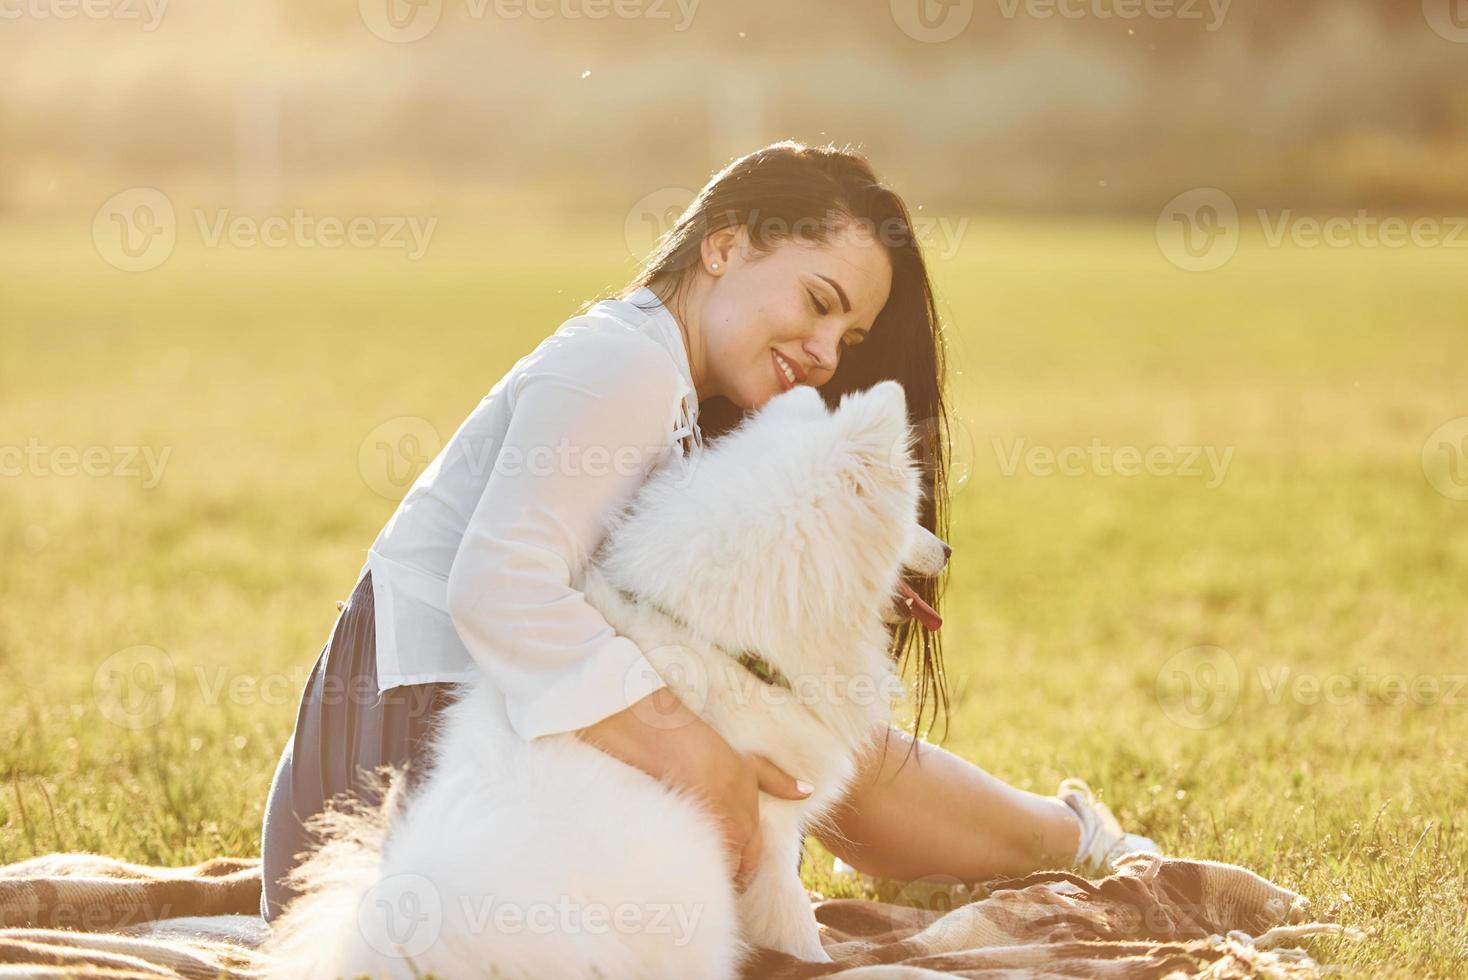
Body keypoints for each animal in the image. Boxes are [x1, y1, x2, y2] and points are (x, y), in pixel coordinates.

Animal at [264, 378, 951, 974]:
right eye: (911, 516)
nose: (947, 550)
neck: (719, 639)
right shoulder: (771, 835)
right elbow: (799, 929)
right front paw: (820, 962)